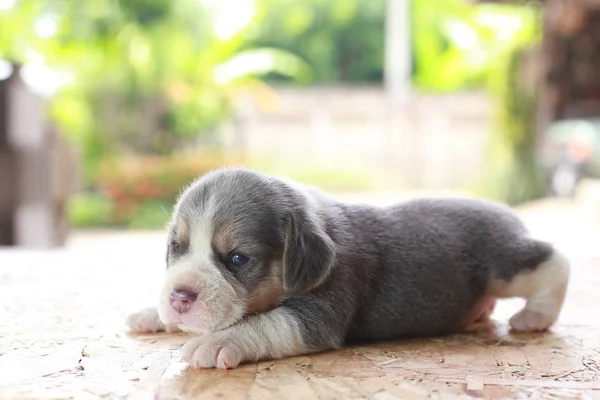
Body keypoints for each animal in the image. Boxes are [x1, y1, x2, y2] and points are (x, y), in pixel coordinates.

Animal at [125, 166, 568, 368]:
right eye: (177, 247)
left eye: (237, 259)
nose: (180, 296)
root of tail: (506, 211)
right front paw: (153, 313)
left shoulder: (318, 313)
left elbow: (264, 324)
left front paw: (218, 341)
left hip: (505, 262)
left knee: (552, 260)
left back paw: (536, 315)